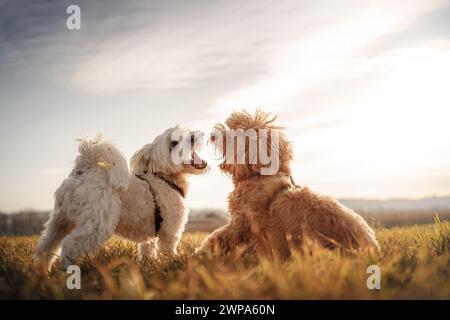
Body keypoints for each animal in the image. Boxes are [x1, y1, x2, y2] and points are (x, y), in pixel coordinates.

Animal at [34, 127, 207, 270]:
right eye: (174, 142)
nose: (194, 136)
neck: (163, 178)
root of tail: (84, 168)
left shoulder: (150, 236)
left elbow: (147, 251)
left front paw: (148, 266)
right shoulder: (170, 231)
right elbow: (167, 250)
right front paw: (172, 264)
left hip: (59, 221)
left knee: (46, 246)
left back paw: (42, 273)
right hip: (97, 226)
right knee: (69, 246)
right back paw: (65, 272)